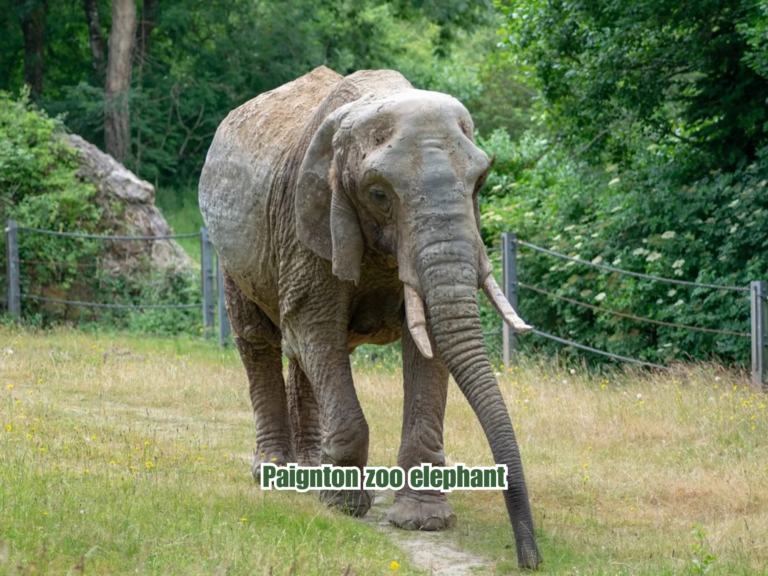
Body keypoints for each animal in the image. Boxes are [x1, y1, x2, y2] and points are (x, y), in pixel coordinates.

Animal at [198, 66, 541, 569]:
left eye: (479, 183)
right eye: (378, 194)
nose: (530, 559)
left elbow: (428, 345)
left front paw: (424, 521)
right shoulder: (306, 219)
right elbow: (316, 327)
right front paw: (342, 506)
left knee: (303, 356)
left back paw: (309, 472)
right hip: (232, 251)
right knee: (259, 340)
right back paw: (276, 473)